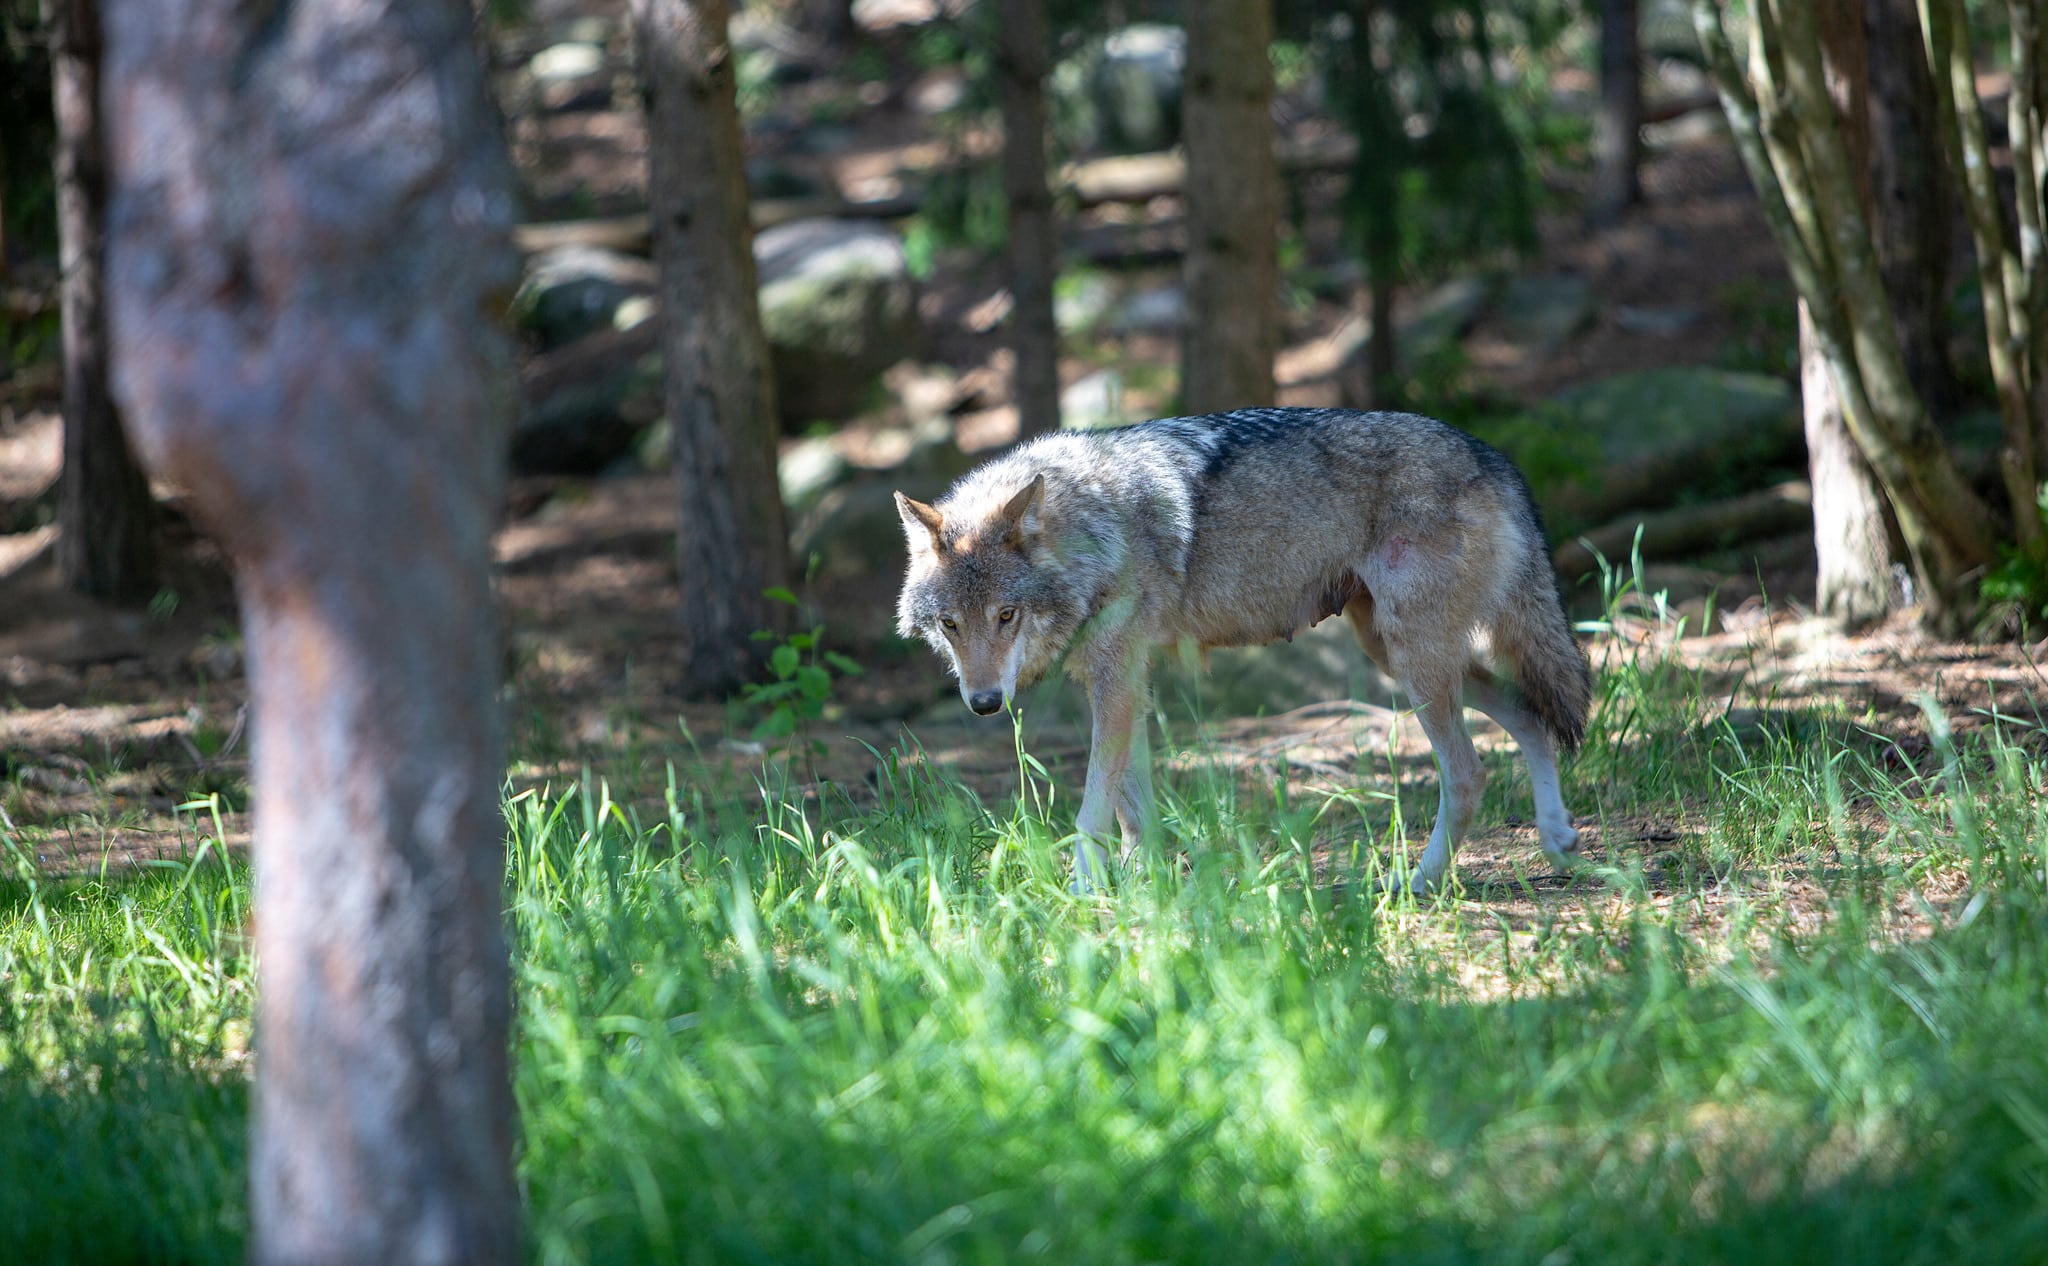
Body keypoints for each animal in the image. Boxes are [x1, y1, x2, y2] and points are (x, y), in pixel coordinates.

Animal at [888, 403, 1589, 889]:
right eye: (950, 624)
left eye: (1006, 616)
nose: (984, 703)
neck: (1093, 530)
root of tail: (1492, 456)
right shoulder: (1122, 681)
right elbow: (1134, 809)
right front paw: (1144, 885)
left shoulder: (1118, 679)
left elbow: (1091, 812)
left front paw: (1083, 893)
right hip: (1395, 653)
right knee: (1529, 714)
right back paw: (1557, 840)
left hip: (1414, 665)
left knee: (1468, 772)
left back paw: (1416, 882)